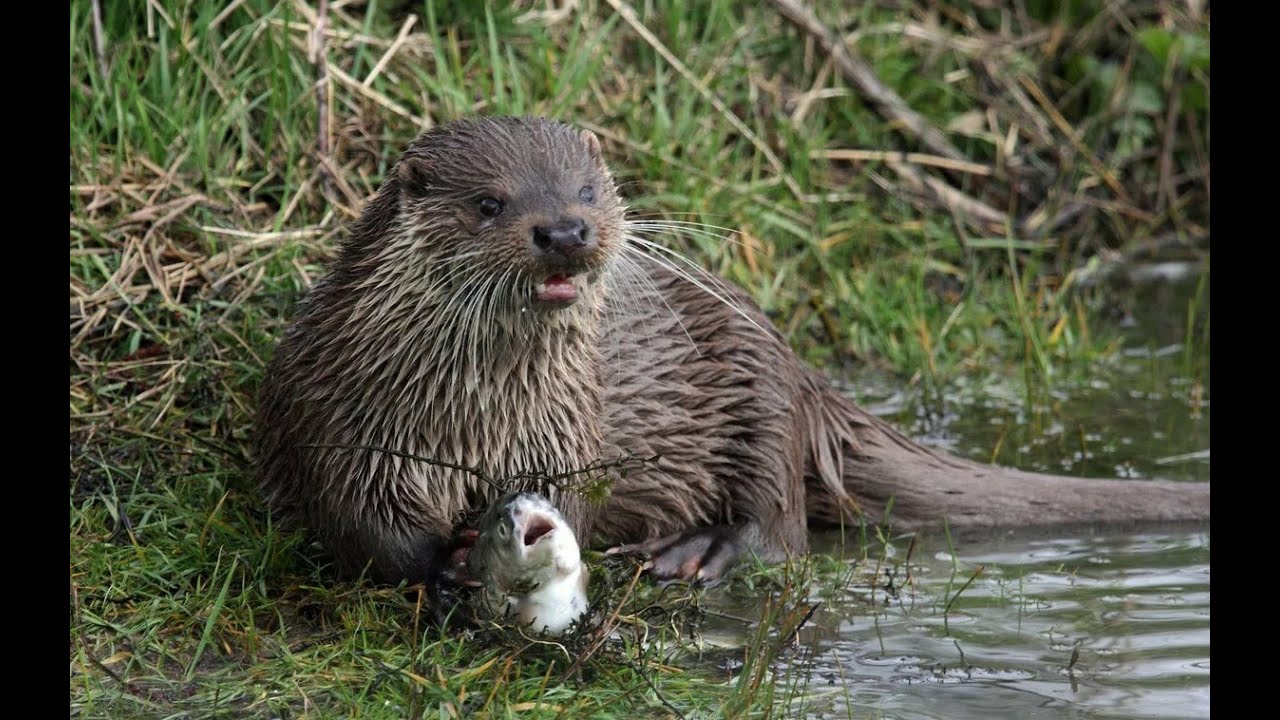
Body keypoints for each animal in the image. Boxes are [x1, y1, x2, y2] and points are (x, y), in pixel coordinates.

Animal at [257, 113, 1208, 584]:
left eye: (590, 189)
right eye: (489, 202)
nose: (564, 229)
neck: (476, 419)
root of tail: (809, 377)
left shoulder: (572, 435)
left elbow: (582, 505)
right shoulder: (336, 420)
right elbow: (358, 526)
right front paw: (443, 565)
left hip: (763, 402)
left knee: (782, 529)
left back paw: (697, 554)